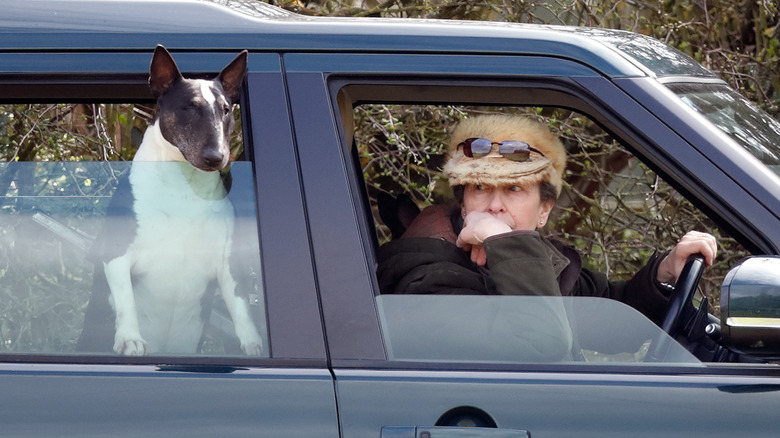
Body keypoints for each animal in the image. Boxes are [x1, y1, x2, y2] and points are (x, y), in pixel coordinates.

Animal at [79, 46, 264, 356]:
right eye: (188, 107)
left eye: (226, 109)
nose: (216, 158)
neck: (185, 186)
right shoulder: (117, 253)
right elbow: (125, 300)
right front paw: (130, 339)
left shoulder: (228, 262)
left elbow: (241, 307)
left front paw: (254, 346)